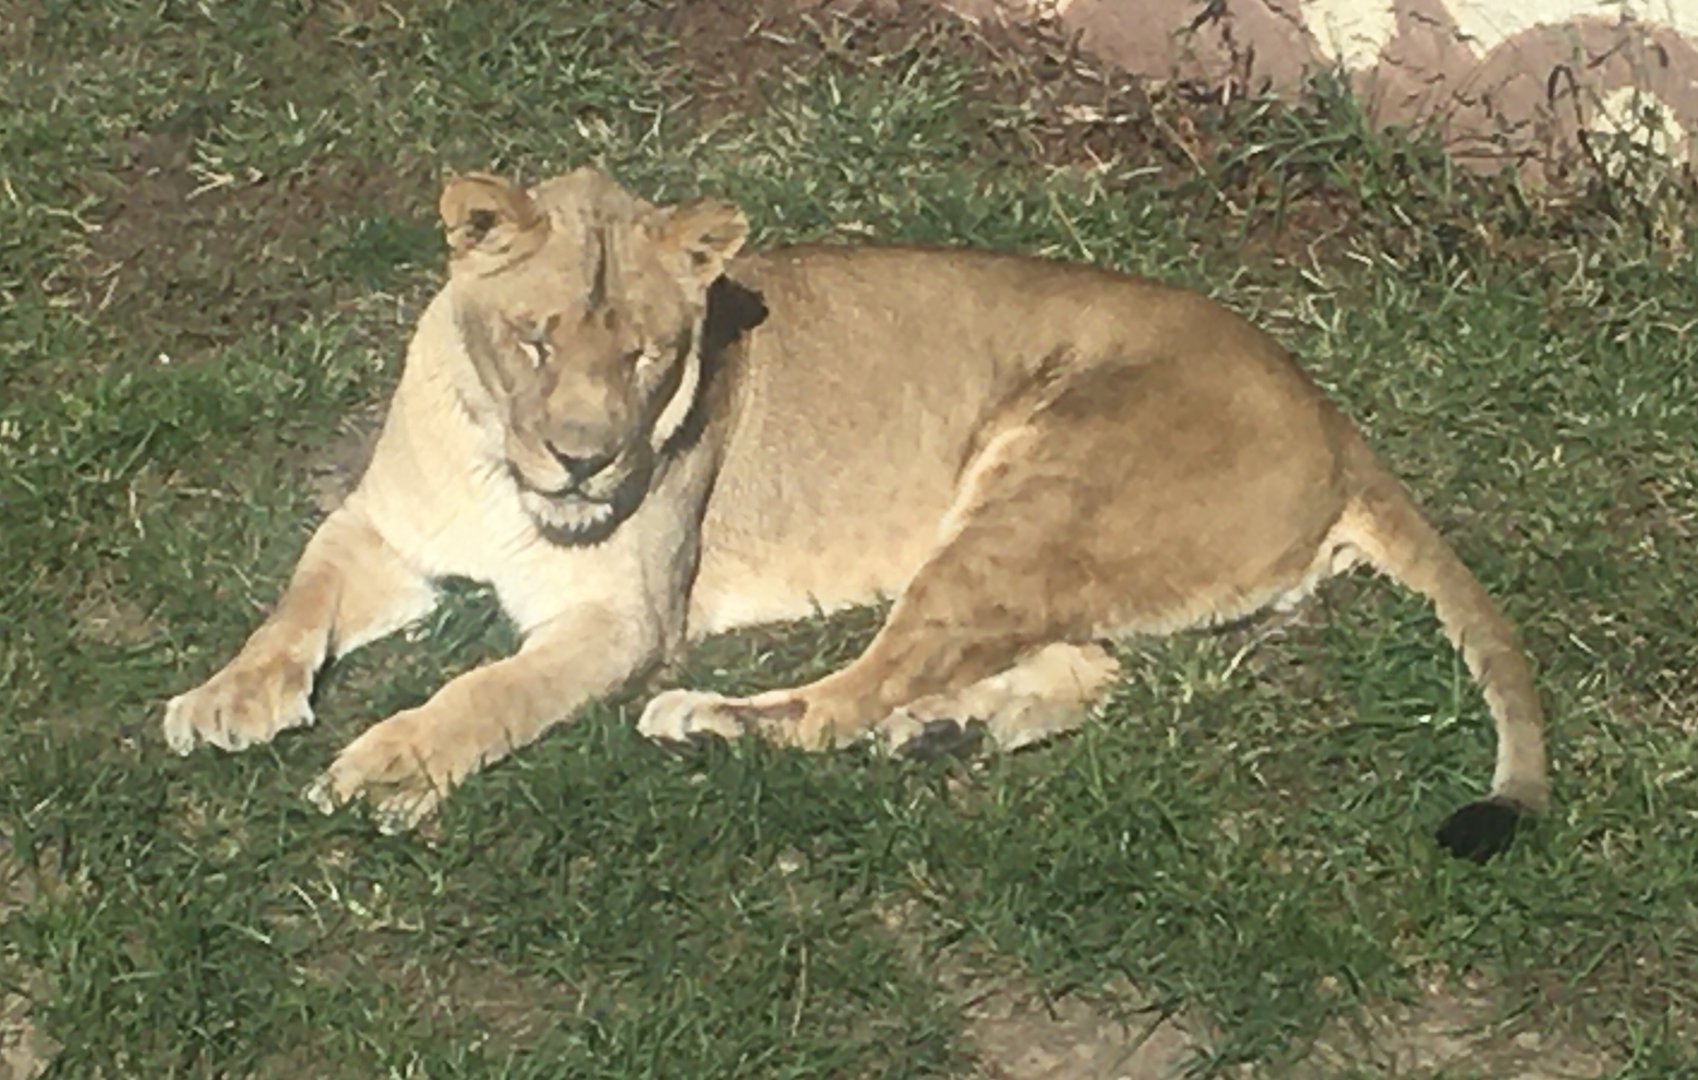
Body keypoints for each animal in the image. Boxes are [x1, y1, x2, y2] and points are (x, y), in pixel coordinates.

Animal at [162, 167, 1548, 861]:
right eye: (536, 336)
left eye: (647, 354)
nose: (584, 466)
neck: (503, 463)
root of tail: (1333, 414)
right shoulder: (384, 530)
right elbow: (298, 598)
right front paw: (227, 699)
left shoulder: (625, 619)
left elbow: (490, 692)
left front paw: (392, 761)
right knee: (1070, 668)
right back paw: (945, 732)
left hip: (1032, 490)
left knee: (850, 696)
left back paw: (722, 722)